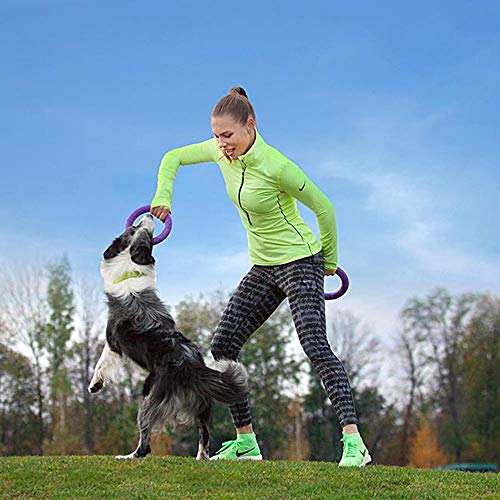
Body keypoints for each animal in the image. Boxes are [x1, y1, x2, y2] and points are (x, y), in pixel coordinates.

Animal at [89, 215, 248, 460]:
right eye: (135, 228)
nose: (150, 215)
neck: (130, 267)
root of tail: (189, 363)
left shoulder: (113, 341)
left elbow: (102, 361)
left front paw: (95, 385)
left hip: (149, 395)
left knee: (145, 440)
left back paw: (129, 456)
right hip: (201, 402)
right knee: (204, 433)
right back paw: (201, 458)